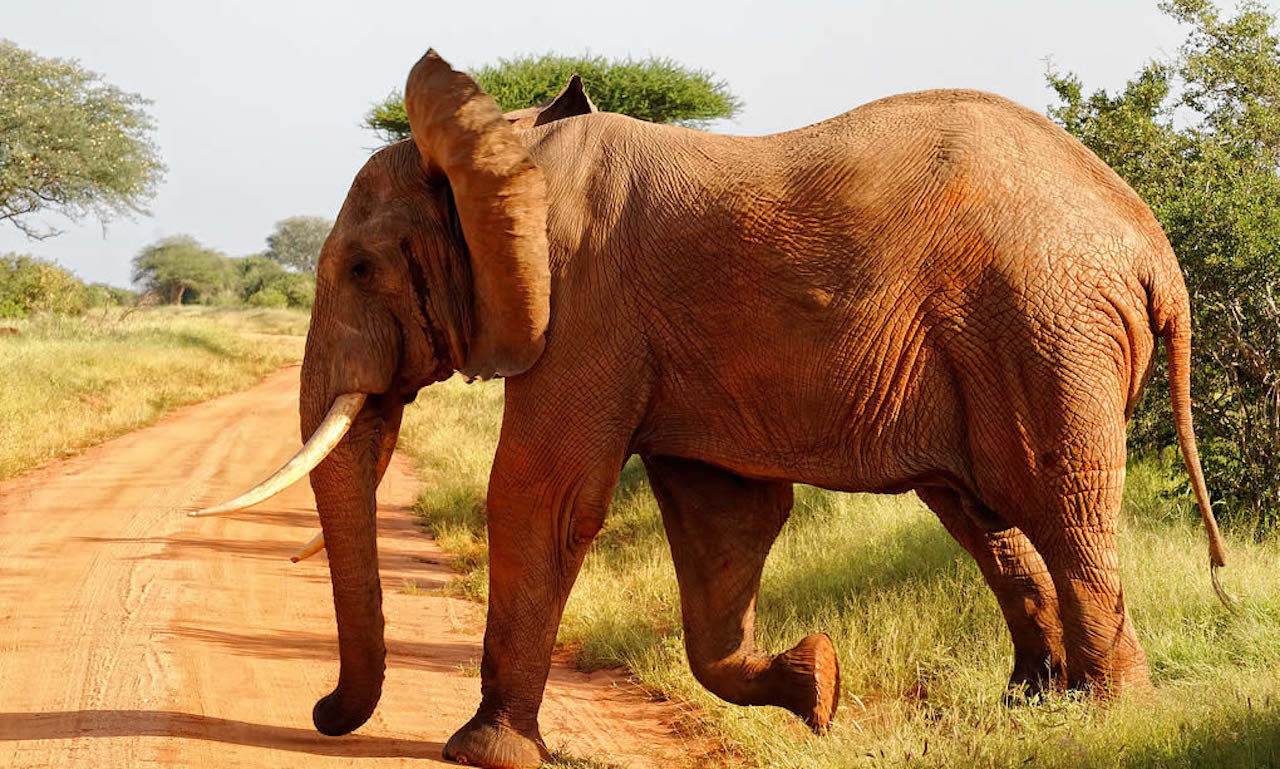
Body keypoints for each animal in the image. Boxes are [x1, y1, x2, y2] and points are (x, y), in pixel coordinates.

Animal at [197, 49, 1228, 767]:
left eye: (361, 269)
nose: (323, 713)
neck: (504, 146)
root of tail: (1155, 249)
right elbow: (721, 523)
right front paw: (819, 687)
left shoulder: (589, 307)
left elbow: (542, 496)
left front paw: (480, 751)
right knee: (988, 519)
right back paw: (1035, 708)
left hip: (1047, 331)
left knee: (1061, 510)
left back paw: (1110, 720)